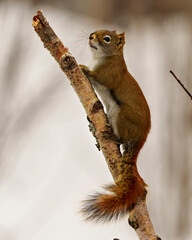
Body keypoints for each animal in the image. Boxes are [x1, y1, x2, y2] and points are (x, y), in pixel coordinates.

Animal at [80, 30, 152, 223]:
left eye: (107, 39)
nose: (91, 36)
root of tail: (140, 140)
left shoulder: (109, 73)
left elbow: (99, 77)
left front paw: (83, 68)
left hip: (121, 115)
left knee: (121, 139)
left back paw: (111, 136)